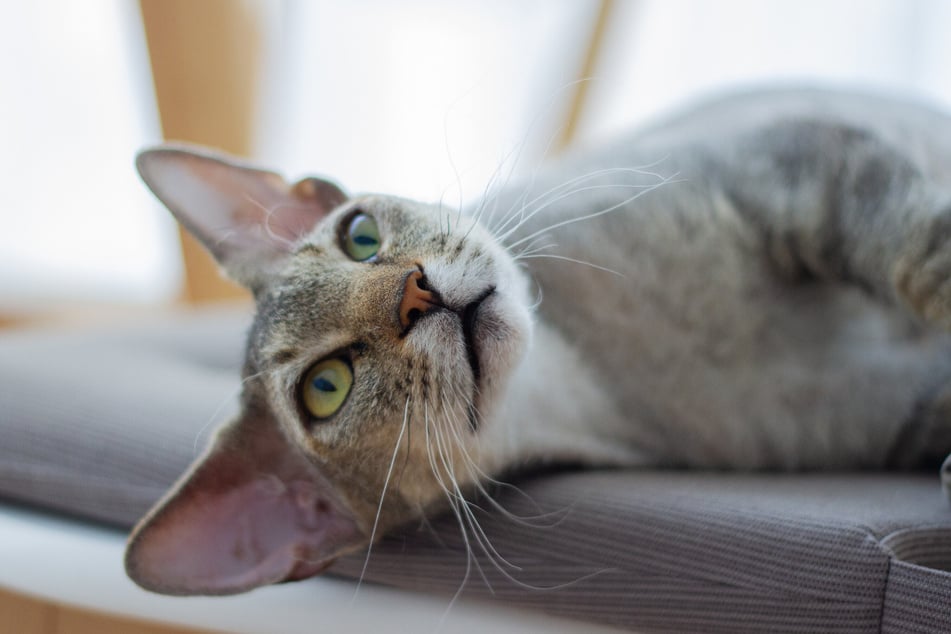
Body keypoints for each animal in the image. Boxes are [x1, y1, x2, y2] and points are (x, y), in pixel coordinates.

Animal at [126, 86, 951, 596]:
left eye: (358, 235)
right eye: (326, 387)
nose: (416, 291)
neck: (597, 366)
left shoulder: (791, 153)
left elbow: (919, 251)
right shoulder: (889, 412)